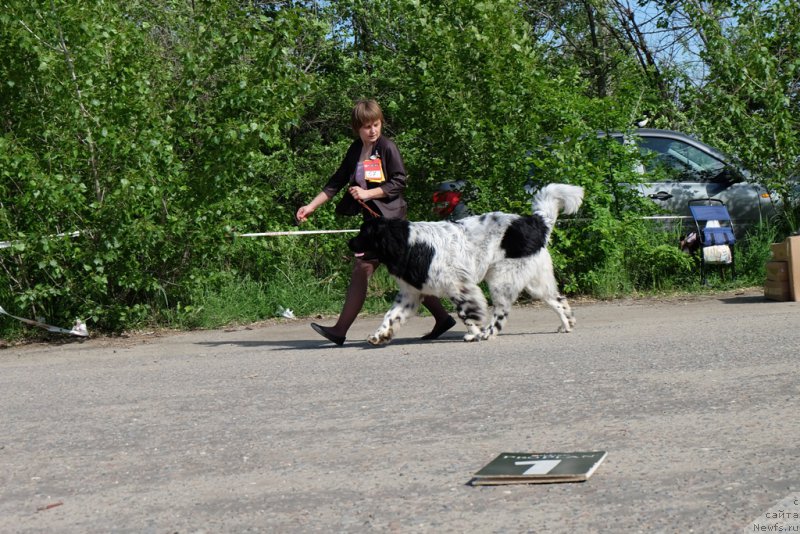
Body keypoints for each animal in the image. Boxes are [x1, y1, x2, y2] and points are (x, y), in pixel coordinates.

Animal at [346, 183, 584, 344]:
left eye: (364, 234)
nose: (349, 242)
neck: (408, 243)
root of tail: (533, 222)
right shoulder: (409, 294)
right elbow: (391, 316)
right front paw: (379, 334)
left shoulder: (459, 286)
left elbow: (466, 313)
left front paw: (475, 333)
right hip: (535, 280)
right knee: (558, 300)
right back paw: (567, 324)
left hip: (501, 278)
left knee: (501, 311)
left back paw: (488, 333)